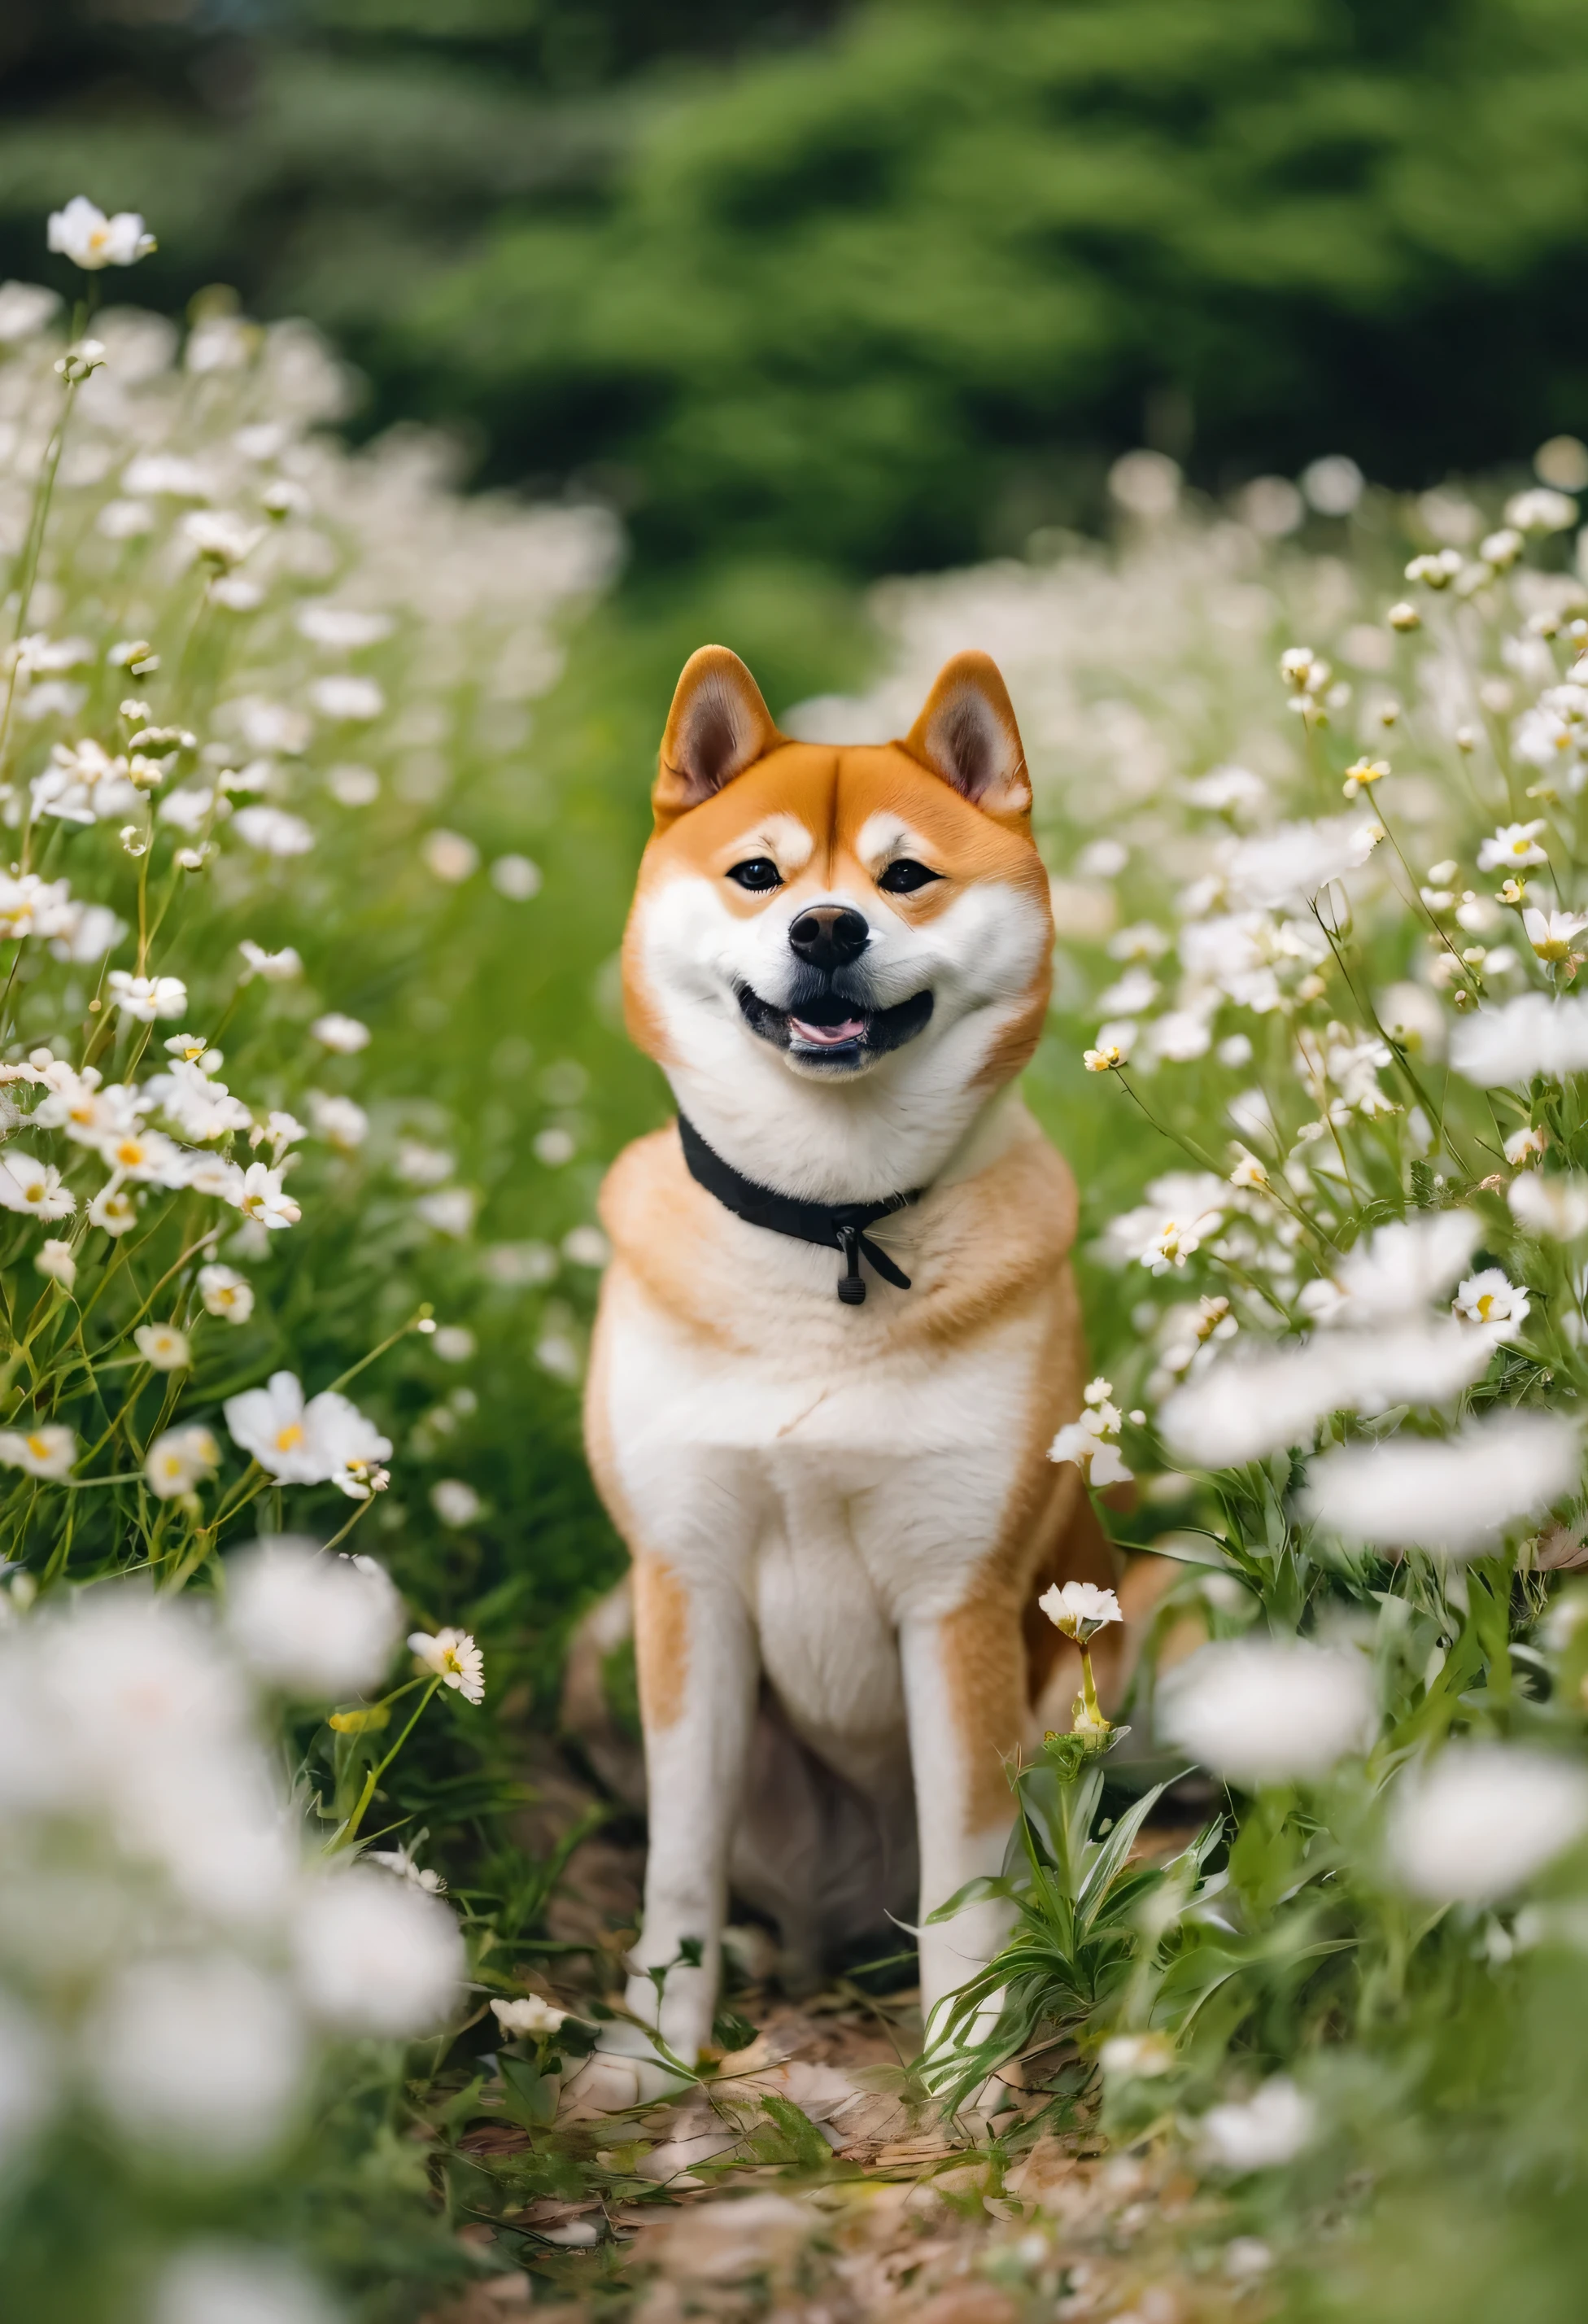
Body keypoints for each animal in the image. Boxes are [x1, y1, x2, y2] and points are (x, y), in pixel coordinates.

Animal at [572, 641, 1129, 2110]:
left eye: (907, 875)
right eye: (759, 873)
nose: (827, 931)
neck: (829, 1223)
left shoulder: (960, 1605)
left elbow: (967, 1892)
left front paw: (967, 2072)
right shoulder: (687, 1593)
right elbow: (679, 1871)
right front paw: (652, 2055)